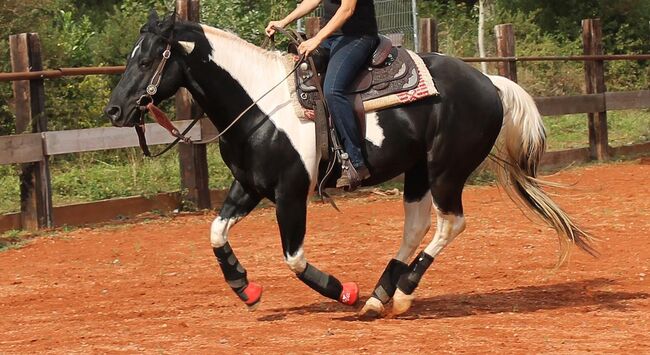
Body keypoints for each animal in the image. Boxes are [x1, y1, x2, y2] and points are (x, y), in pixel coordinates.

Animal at [105, 13, 592, 318]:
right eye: (129, 56)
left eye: (146, 60)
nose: (114, 110)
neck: (260, 104)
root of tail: (489, 81)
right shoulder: (249, 186)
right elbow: (216, 232)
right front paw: (245, 287)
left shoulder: (290, 194)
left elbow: (294, 258)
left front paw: (342, 292)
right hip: (417, 171)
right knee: (416, 226)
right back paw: (381, 296)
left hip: (445, 170)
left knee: (450, 223)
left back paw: (399, 294)